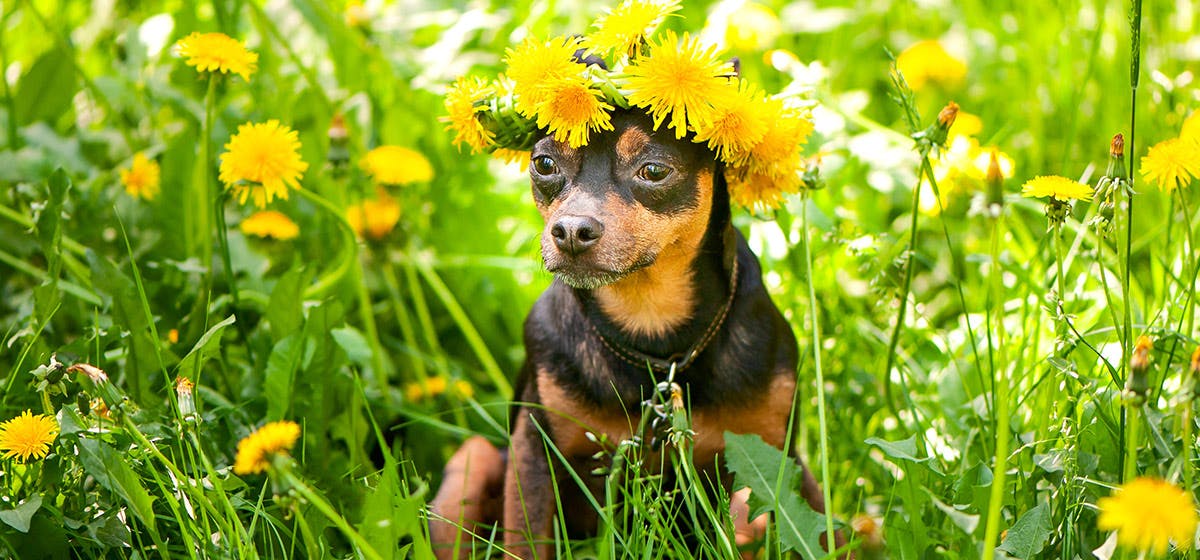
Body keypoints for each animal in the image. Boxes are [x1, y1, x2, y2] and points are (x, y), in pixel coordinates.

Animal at [432, 107, 835, 558]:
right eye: (544, 164)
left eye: (654, 170)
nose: (571, 231)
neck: (650, 327)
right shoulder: (533, 449)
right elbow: (528, 541)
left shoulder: (780, 454)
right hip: (472, 462)